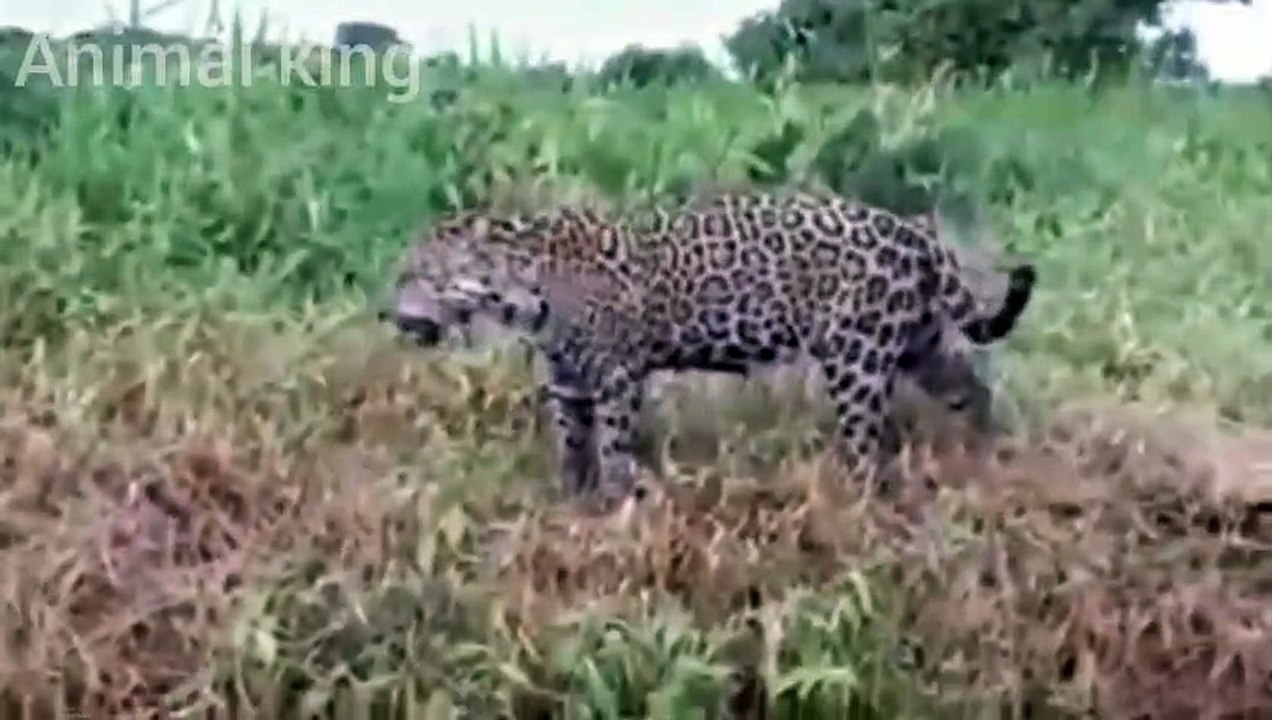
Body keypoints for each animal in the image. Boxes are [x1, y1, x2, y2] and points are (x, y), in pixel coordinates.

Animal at [383, 189, 1037, 501]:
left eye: (419, 274)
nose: (388, 312)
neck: (525, 288)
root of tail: (912, 231)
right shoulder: (568, 381)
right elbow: (572, 445)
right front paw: (572, 498)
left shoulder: (616, 376)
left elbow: (613, 445)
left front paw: (615, 501)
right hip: (916, 342)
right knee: (970, 387)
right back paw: (988, 453)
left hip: (857, 357)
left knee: (865, 441)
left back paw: (853, 492)